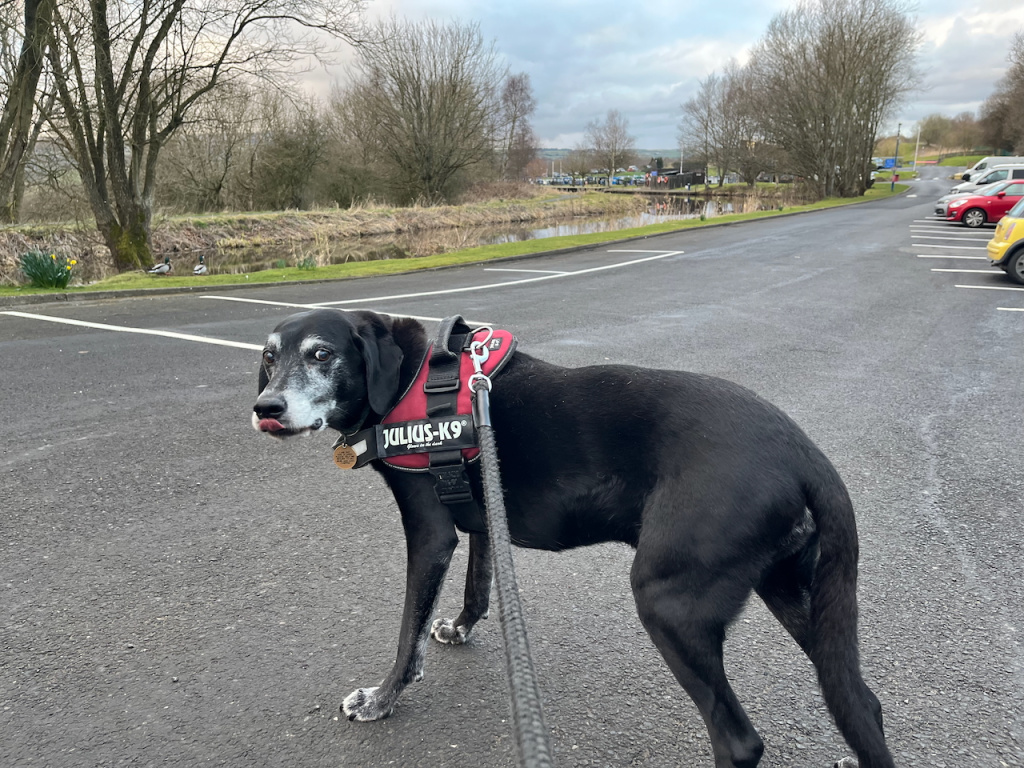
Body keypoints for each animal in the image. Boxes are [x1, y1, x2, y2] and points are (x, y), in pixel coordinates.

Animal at [252, 308, 895, 768]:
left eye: (322, 354)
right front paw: (459, 627)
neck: (409, 376)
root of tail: (806, 456)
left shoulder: (430, 534)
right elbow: (478, 587)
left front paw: (382, 700)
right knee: (862, 702)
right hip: (798, 594)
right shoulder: (482, 515)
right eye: (269, 357)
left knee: (739, 742)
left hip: (669, 602)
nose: (265, 407)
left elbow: (407, 632)